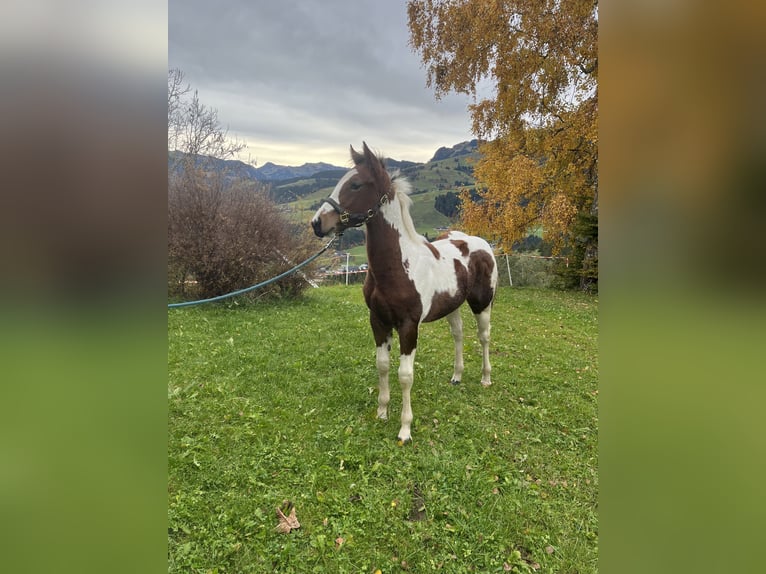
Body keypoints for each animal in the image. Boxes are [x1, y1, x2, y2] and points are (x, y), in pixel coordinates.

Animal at [311, 142, 498, 443]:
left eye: (355, 184)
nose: (317, 223)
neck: (399, 265)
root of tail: (482, 243)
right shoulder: (378, 321)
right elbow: (383, 365)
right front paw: (382, 412)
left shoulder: (408, 326)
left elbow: (405, 375)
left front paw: (405, 429)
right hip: (453, 305)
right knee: (458, 335)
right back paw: (457, 376)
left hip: (482, 302)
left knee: (484, 337)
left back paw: (485, 378)